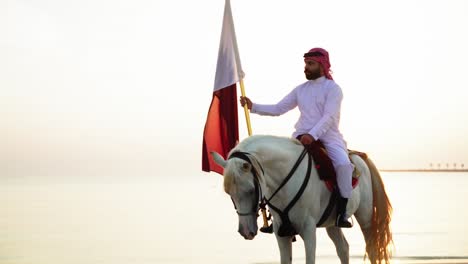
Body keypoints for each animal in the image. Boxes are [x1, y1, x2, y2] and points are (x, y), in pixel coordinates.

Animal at [211, 135, 392, 264]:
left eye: (250, 190)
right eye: (229, 193)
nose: (246, 232)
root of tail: (359, 156)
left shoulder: (308, 231)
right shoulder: (281, 233)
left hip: (366, 218)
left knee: (372, 249)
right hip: (332, 224)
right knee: (343, 249)